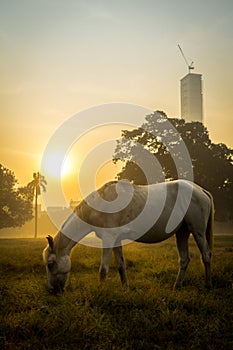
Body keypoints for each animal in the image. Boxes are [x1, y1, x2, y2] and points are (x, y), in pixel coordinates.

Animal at [42, 179, 214, 294]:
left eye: (50, 264)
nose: (52, 290)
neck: (101, 204)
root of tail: (200, 190)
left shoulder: (108, 238)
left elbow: (103, 269)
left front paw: (100, 291)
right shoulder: (116, 240)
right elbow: (121, 265)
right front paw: (126, 288)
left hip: (197, 231)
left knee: (206, 255)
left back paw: (207, 285)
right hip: (182, 232)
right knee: (184, 259)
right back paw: (176, 286)